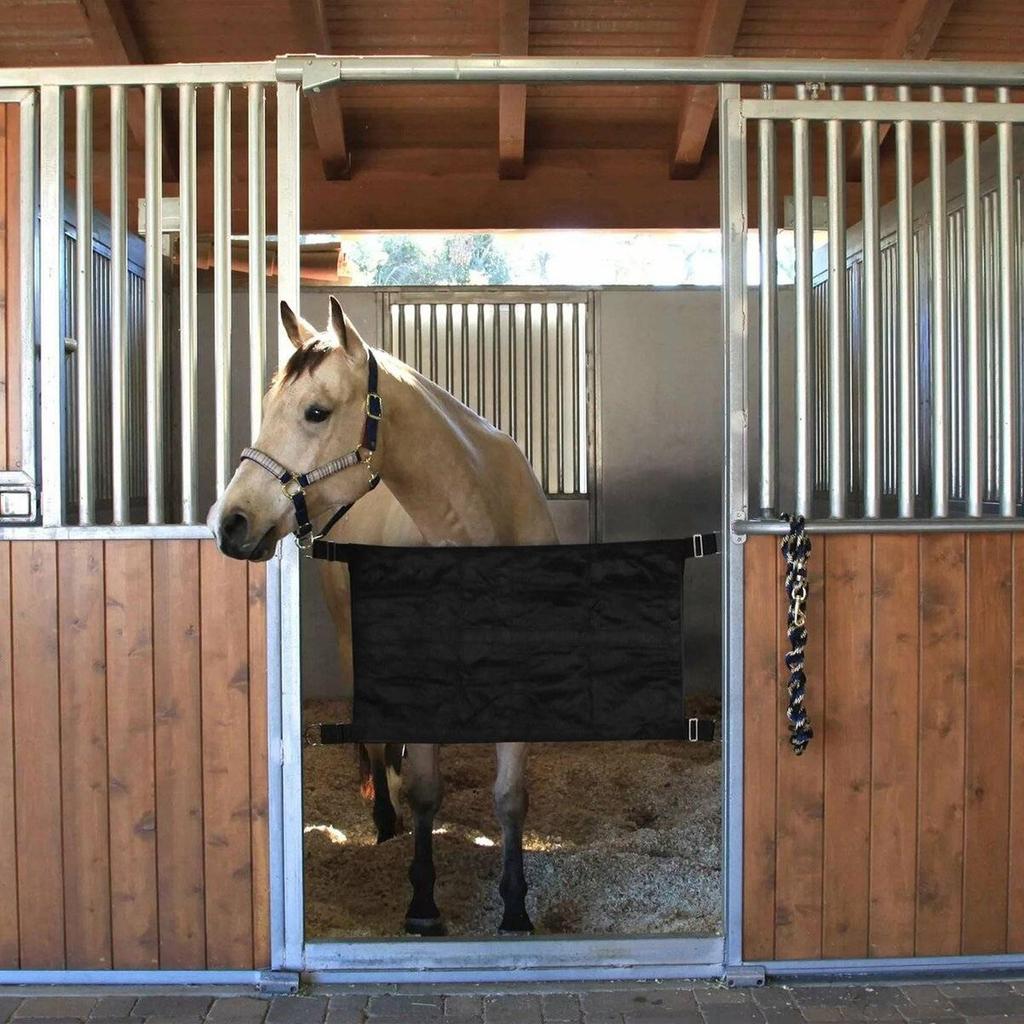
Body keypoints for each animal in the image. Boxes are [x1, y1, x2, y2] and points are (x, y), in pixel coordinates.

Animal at [209, 295, 559, 936]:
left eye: (315, 412)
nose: (230, 522)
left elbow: (509, 797)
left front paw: (516, 905)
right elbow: (424, 791)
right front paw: (422, 903)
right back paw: (383, 818)